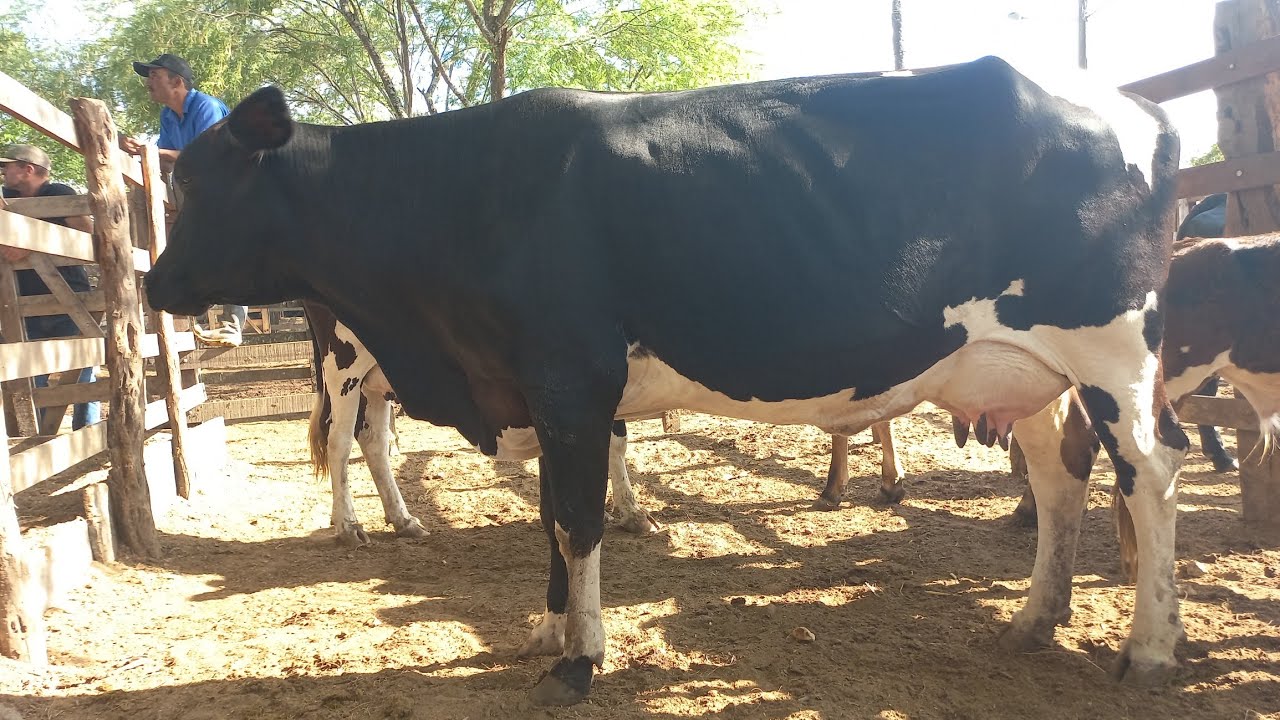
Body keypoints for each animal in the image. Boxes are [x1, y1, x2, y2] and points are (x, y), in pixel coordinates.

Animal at [302, 299, 659, 545]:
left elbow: (614, 442)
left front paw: (630, 512)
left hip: (376, 377)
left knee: (373, 439)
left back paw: (402, 520)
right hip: (343, 361)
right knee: (339, 441)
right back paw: (349, 525)